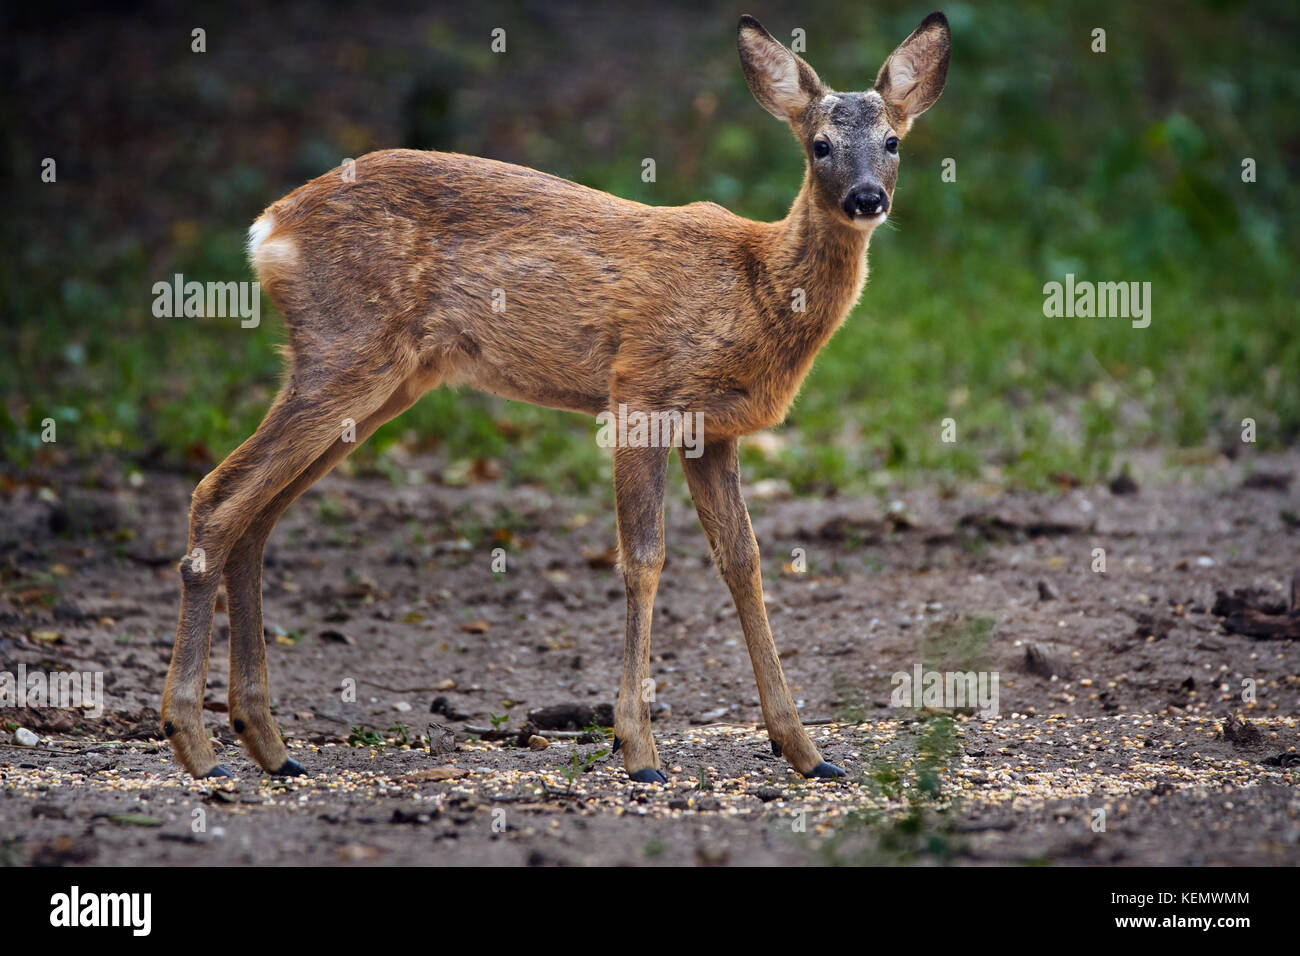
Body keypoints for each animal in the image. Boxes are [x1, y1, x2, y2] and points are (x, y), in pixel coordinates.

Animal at [161, 13, 951, 783]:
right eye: (819, 145)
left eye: (892, 141)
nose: (867, 199)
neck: (756, 288)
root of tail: (269, 229)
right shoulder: (640, 392)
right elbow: (644, 558)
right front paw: (639, 751)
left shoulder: (715, 430)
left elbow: (744, 562)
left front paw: (808, 753)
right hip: (344, 351)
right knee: (217, 495)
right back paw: (196, 743)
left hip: (379, 380)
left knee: (255, 518)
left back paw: (270, 746)